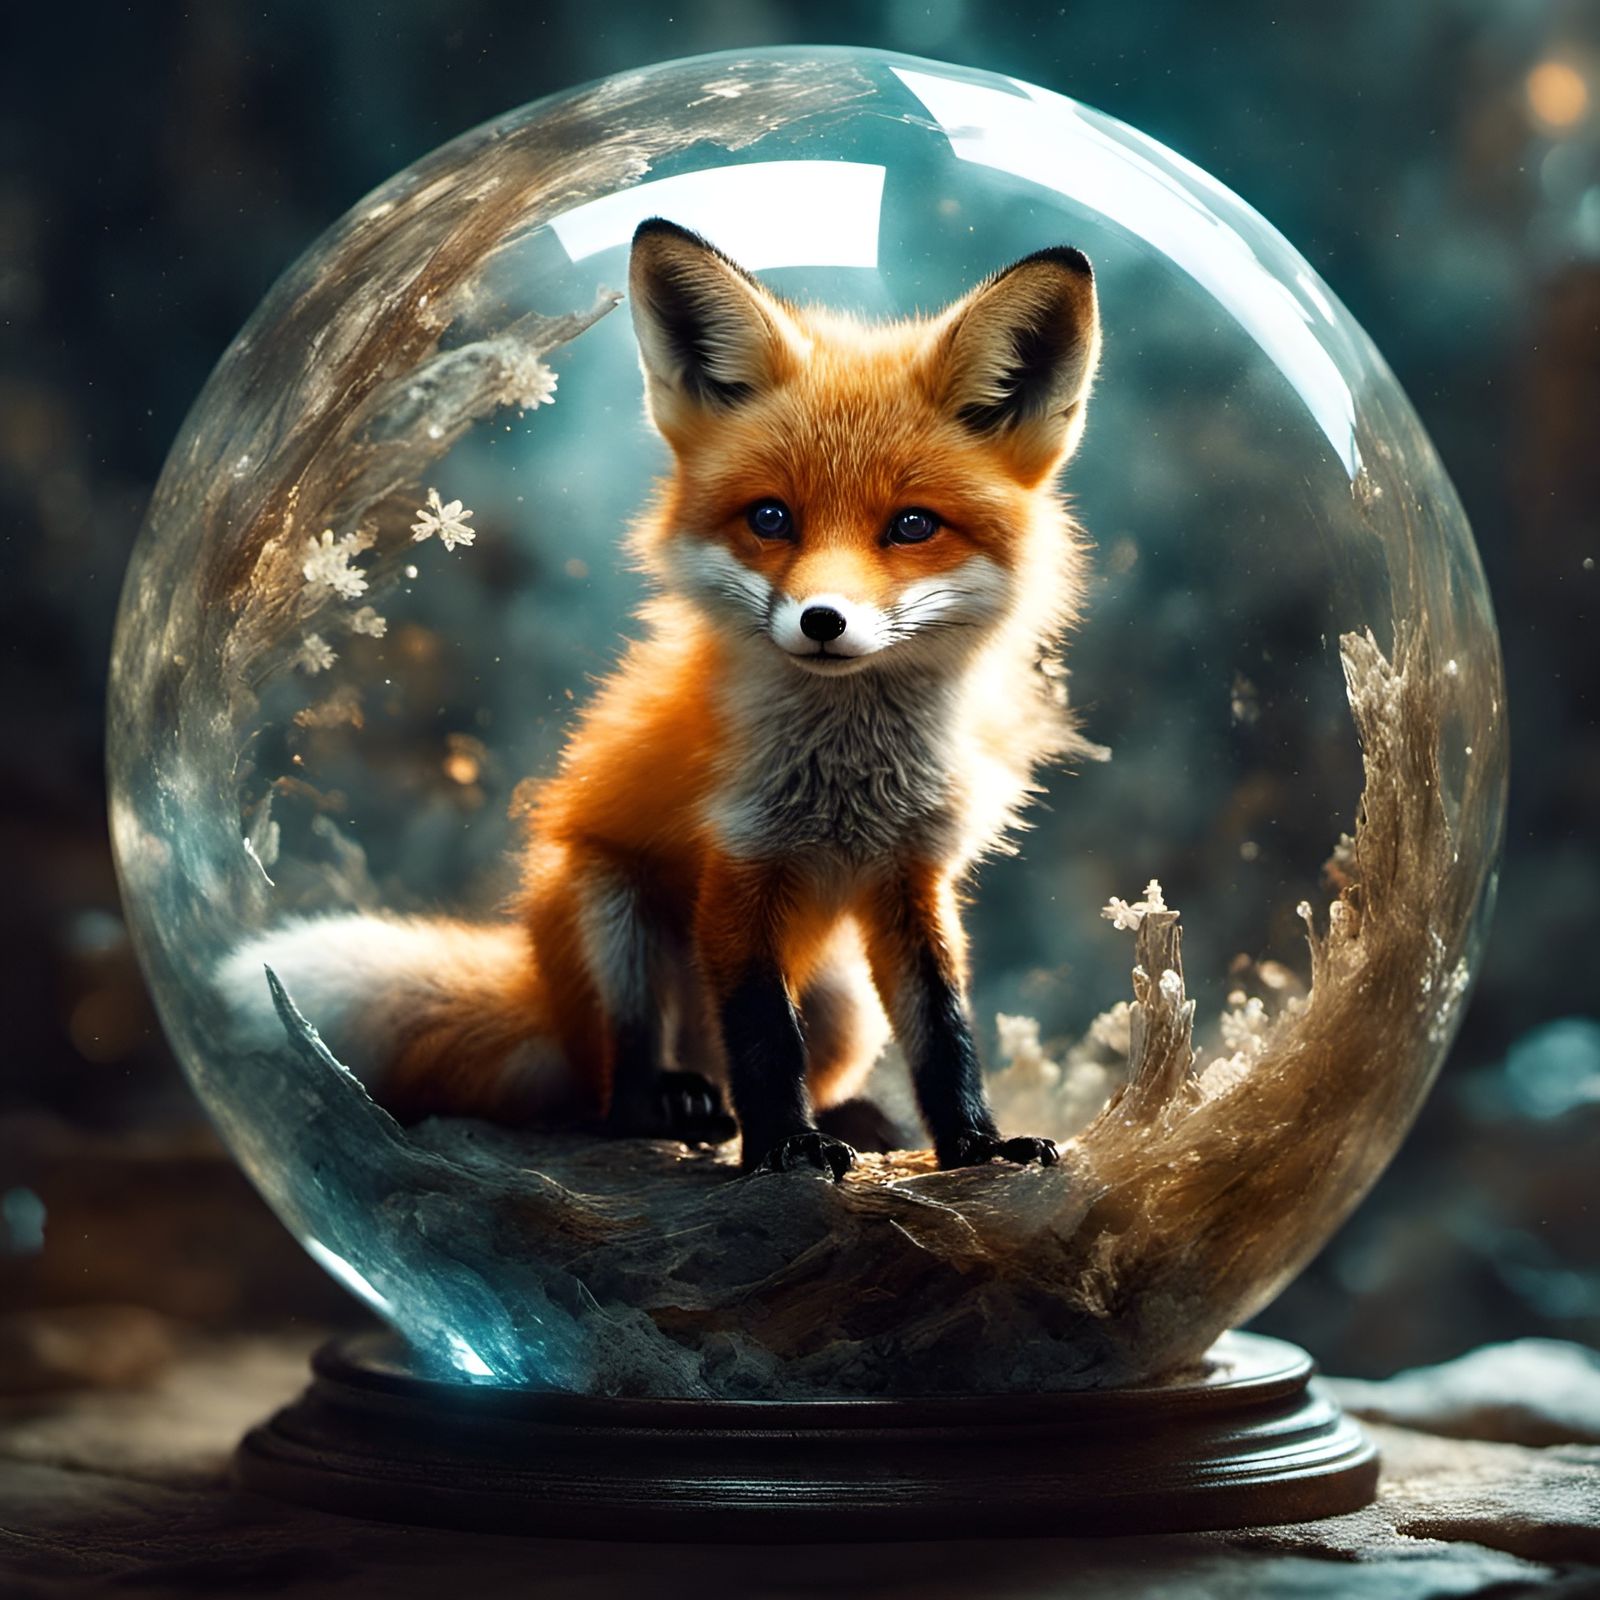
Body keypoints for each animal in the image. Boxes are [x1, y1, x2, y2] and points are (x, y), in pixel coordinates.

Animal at [224, 218, 1102, 1179]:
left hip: (842, 1003)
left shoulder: (913, 878)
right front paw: (785, 1146)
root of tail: (539, 990)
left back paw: (853, 1118)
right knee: (618, 1094)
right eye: (770, 518)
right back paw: (675, 1105)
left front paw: (974, 1143)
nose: (822, 620)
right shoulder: (737, 866)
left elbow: (945, 1033)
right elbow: (762, 1036)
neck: (847, 783)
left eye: (912, 525)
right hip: (613, 917)